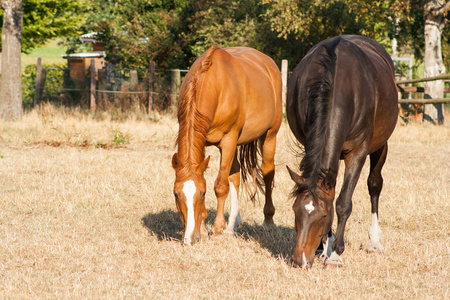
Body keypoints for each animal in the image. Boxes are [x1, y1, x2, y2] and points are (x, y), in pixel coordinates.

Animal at [171, 45, 282, 245]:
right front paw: (203, 227)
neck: (214, 84)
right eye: (176, 194)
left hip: (270, 134)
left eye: (203, 194)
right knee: (235, 176)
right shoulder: (203, 141)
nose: (190, 238)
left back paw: (268, 221)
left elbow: (220, 186)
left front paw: (217, 229)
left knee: (268, 172)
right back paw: (232, 226)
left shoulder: (228, 140)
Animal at [286, 35, 400, 268]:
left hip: (381, 145)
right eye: (295, 210)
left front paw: (336, 255)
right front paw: (325, 247)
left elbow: (343, 202)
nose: (300, 260)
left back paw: (374, 242)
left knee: (374, 185)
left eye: (322, 216)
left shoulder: (358, 152)